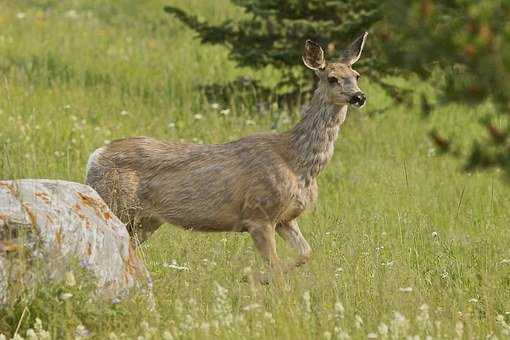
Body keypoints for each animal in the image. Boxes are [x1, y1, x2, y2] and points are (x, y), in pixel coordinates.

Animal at [86, 32, 366, 276]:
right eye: (332, 78)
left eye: (356, 75)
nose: (359, 96)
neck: (297, 162)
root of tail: (95, 157)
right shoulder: (258, 215)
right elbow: (276, 268)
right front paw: (259, 280)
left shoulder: (286, 218)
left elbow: (306, 253)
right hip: (114, 202)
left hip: (146, 220)